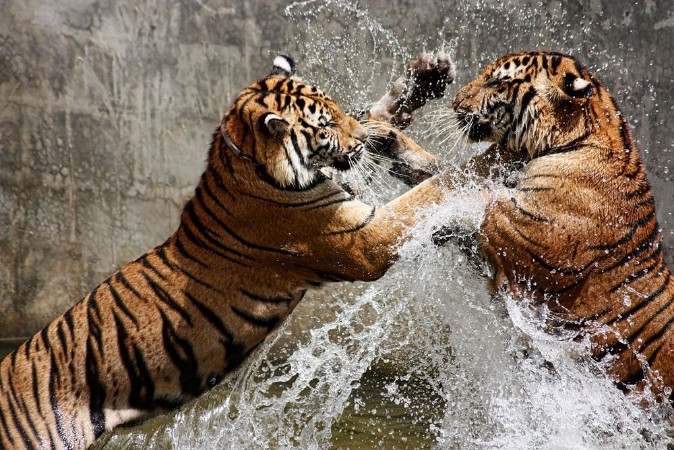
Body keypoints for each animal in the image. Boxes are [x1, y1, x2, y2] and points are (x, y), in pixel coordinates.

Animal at [0, 53, 454, 449]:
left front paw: (424, 78)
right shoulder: (362, 239)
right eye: (325, 125)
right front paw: (467, 172)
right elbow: (428, 192)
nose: (358, 139)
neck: (244, 157)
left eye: (337, 108)